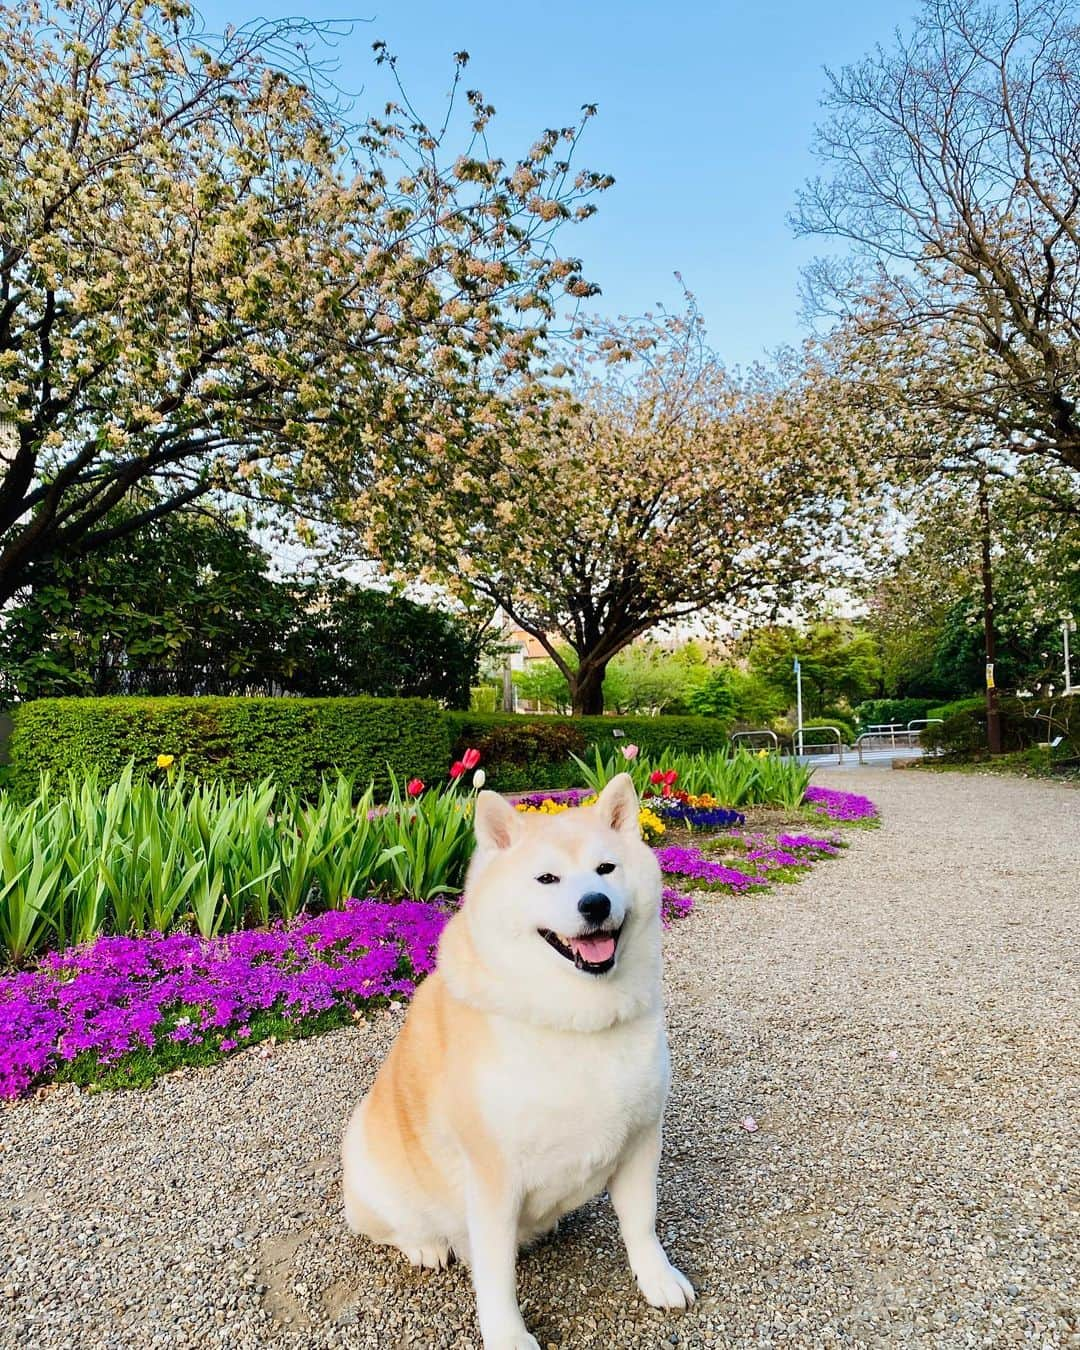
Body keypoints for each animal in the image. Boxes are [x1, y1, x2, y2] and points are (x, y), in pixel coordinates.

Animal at [341, 777, 696, 1344]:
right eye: (547, 878)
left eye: (606, 868)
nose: (595, 903)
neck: (577, 1021)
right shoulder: (493, 1177)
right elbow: (496, 1275)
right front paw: (508, 1336)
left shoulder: (642, 1140)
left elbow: (641, 1223)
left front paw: (656, 1278)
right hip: (370, 1164)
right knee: (396, 1228)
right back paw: (424, 1245)